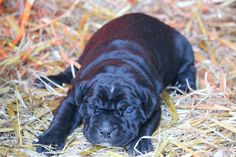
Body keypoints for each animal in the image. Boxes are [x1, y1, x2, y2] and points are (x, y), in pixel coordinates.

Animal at [35, 12, 196, 155]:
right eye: (92, 107)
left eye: (129, 110)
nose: (106, 131)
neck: (117, 66)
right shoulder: (72, 100)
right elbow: (62, 119)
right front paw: (49, 141)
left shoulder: (154, 106)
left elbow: (147, 125)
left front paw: (139, 144)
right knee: (71, 69)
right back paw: (49, 80)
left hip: (184, 47)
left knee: (188, 67)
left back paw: (184, 85)